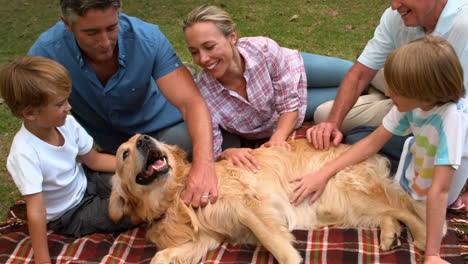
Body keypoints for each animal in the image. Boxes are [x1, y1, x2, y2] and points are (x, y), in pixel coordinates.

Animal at [108, 135, 430, 262]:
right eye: (124, 153)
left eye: (146, 137)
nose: (144, 139)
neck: (176, 194)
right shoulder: (207, 239)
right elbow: (162, 255)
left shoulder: (249, 205)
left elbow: (273, 241)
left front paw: (292, 259)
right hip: (340, 206)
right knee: (388, 213)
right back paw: (390, 235)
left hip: (346, 190)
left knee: (405, 207)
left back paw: (424, 237)